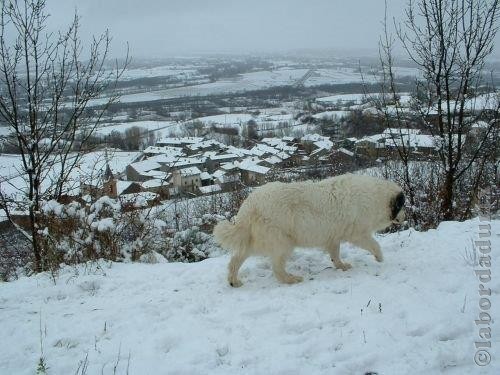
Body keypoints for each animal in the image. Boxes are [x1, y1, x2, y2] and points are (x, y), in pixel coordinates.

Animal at [213, 174, 404, 288]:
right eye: (401, 206)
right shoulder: (358, 233)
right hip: (283, 242)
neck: (375, 197)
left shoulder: (333, 236)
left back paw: (234, 281)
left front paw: (341, 266)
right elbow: (374, 244)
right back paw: (291, 279)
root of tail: (250, 204)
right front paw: (380, 258)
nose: (404, 217)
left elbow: (335, 254)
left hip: (254, 240)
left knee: (236, 259)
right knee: (277, 267)